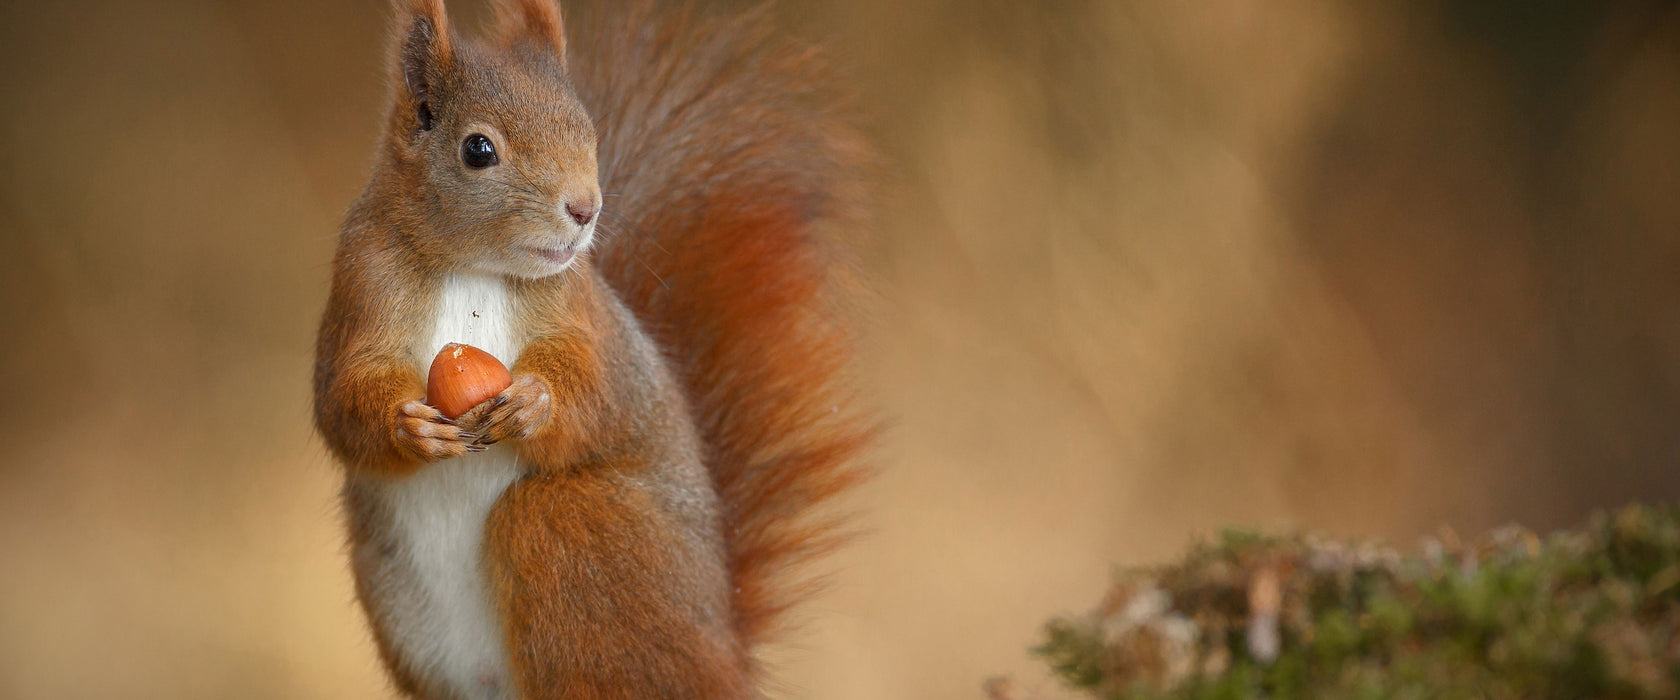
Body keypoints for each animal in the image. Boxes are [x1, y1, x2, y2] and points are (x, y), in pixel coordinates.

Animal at [307, 2, 873, 694]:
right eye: (477, 149)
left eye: (587, 130)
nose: (585, 208)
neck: (472, 268)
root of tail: (725, 656)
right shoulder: (361, 285)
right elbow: (341, 402)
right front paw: (408, 426)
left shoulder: (586, 317)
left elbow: (599, 389)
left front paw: (537, 404)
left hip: (581, 532)